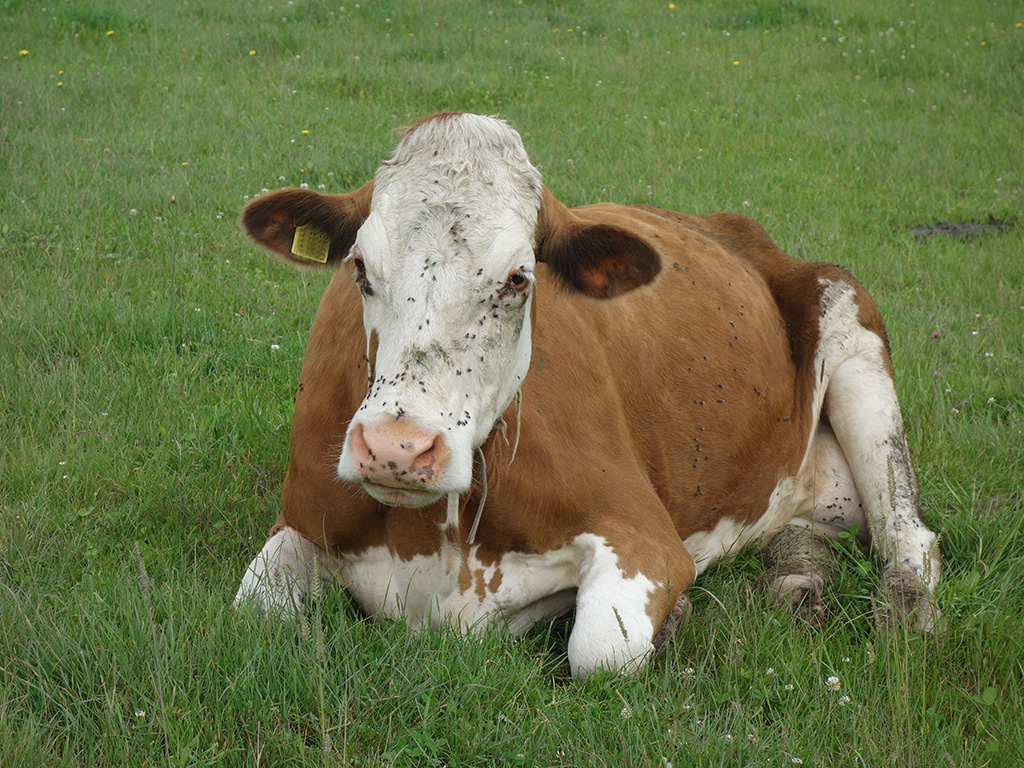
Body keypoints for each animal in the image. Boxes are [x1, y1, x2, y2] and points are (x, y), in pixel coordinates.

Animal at [234, 112, 940, 677]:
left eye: (519, 278)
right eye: (359, 267)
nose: (396, 450)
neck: (436, 539)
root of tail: (737, 227)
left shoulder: (642, 533)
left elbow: (600, 649)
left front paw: (670, 618)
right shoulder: (298, 519)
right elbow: (253, 614)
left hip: (854, 334)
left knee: (909, 537)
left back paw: (905, 617)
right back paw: (798, 586)